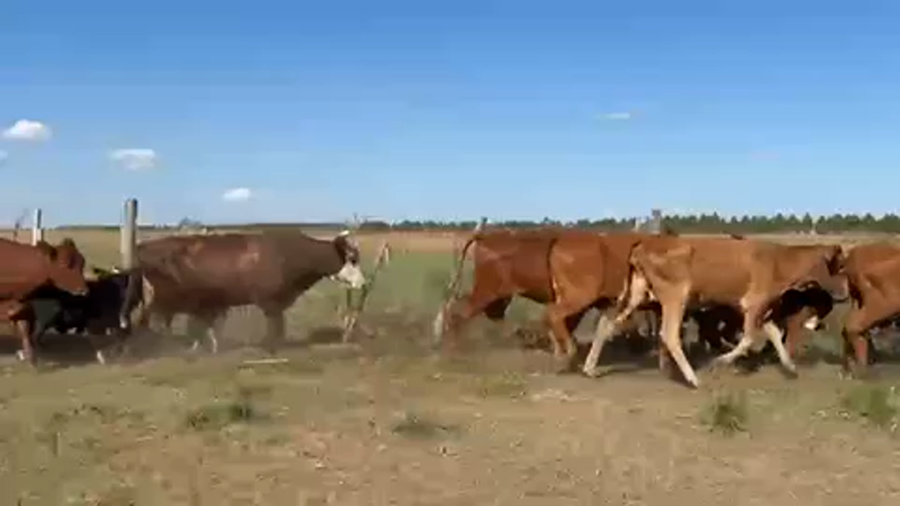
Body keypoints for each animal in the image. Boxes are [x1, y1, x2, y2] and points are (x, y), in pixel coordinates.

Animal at [123, 229, 367, 352]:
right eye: (352, 259)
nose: (363, 283)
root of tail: (144, 246)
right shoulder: (270, 301)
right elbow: (276, 326)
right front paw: (270, 348)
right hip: (161, 299)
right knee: (152, 321)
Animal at [582, 236, 846, 388]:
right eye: (841, 266)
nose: (844, 292)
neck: (779, 260)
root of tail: (642, 245)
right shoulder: (753, 305)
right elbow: (749, 338)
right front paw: (719, 361)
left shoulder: (758, 309)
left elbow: (771, 333)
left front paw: (790, 367)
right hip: (675, 296)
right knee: (669, 334)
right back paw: (693, 379)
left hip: (637, 295)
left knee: (606, 324)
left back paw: (590, 368)